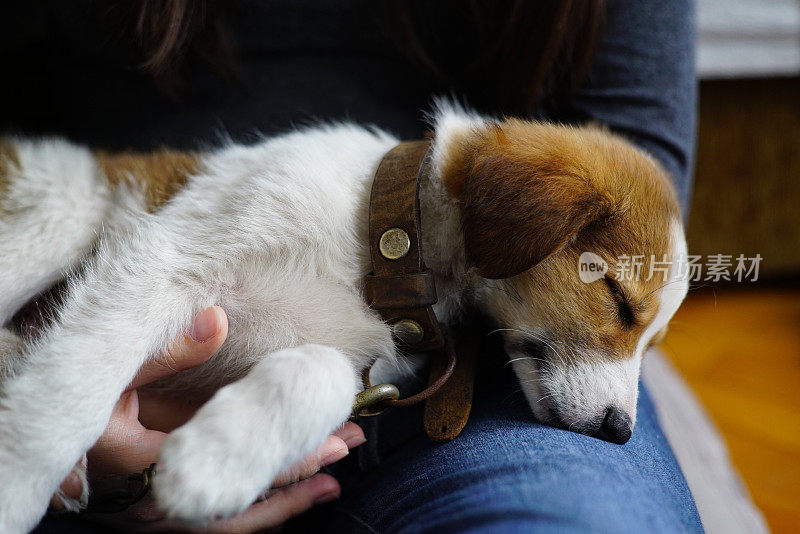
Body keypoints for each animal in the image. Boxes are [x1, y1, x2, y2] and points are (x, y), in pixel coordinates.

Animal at [0, 101, 688, 532]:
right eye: (619, 300)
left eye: (651, 343)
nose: (620, 431)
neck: (379, 245)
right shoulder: (161, 260)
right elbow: (73, 384)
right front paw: (18, 480)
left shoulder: (365, 367)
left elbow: (323, 373)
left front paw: (216, 460)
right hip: (59, 214)